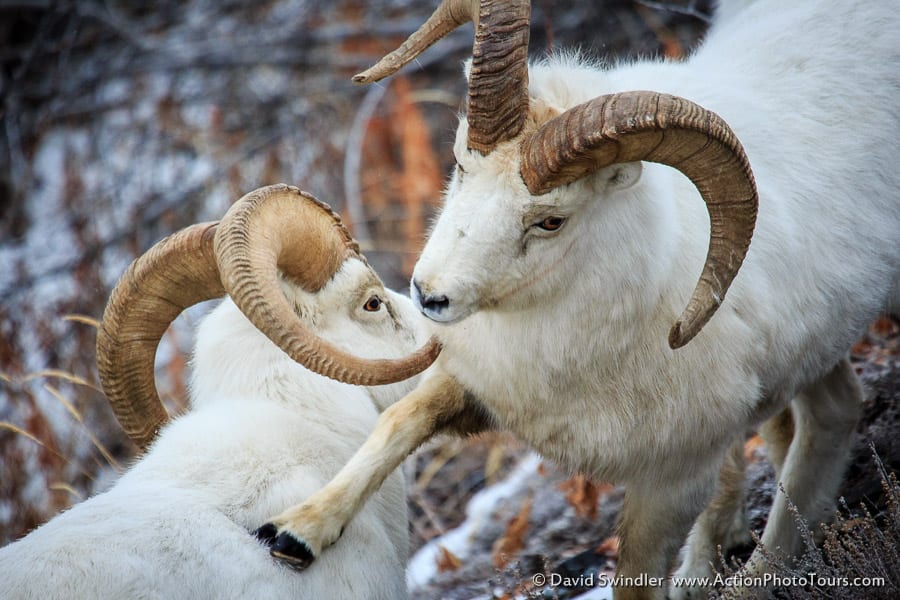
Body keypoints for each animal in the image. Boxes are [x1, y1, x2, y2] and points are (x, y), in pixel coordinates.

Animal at [204, 2, 900, 596]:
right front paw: (296, 533)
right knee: (819, 417)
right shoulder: (480, 383)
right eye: (461, 162)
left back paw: (759, 574)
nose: (430, 295)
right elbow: (397, 425)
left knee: (829, 420)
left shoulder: (672, 482)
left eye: (550, 221)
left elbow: (635, 578)